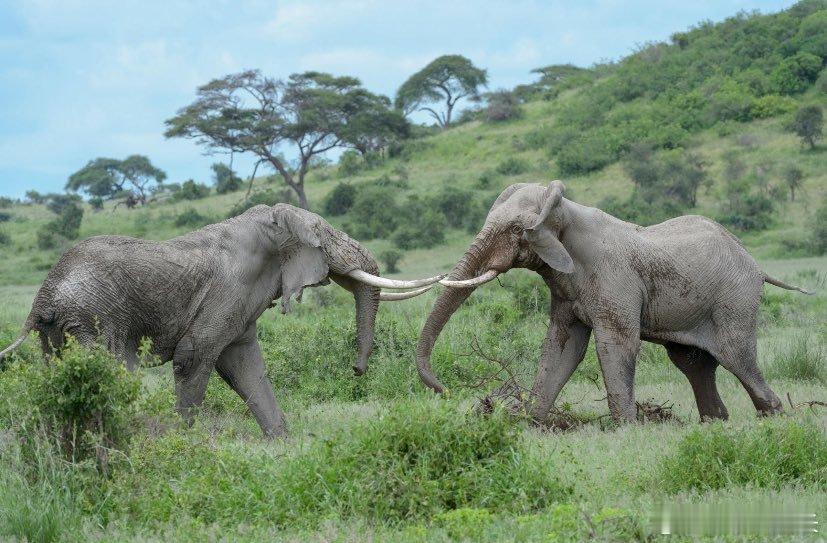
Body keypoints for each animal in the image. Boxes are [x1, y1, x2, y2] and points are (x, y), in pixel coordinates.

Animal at [0, 203, 443, 437]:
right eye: (323, 238)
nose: (356, 369)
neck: (268, 223)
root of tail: (43, 296)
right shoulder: (230, 289)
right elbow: (194, 357)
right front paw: (184, 444)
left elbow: (245, 366)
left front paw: (284, 443)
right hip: (93, 316)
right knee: (114, 369)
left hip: (60, 330)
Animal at [414, 181, 812, 422]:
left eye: (515, 230)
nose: (446, 391)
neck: (564, 210)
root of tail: (757, 265)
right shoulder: (565, 289)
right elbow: (562, 347)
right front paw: (529, 423)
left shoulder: (613, 280)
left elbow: (615, 345)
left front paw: (626, 428)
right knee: (693, 363)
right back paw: (716, 423)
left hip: (735, 301)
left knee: (737, 358)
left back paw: (773, 418)